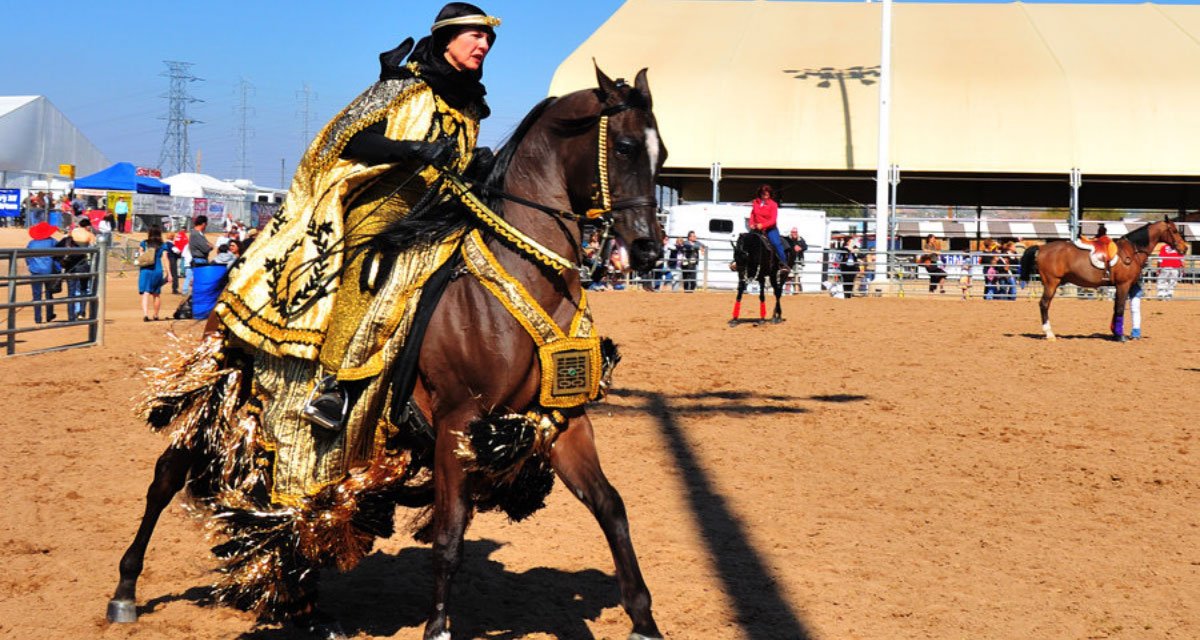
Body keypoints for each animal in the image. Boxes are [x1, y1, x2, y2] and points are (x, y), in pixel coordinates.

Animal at [108, 66, 667, 640]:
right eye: (625, 147)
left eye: (663, 154)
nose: (649, 247)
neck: (530, 275)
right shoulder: (458, 421)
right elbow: (449, 538)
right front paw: (438, 627)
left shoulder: (560, 419)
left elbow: (612, 508)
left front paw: (643, 619)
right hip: (215, 387)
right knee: (166, 477)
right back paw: (126, 590)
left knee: (291, 516)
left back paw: (307, 609)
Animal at [1019, 217, 1188, 341]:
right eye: (1174, 230)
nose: (1185, 248)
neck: (1131, 251)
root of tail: (1041, 247)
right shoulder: (1123, 285)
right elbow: (1119, 308)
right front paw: (1120, 336)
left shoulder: (1122, 286)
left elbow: (1116, 308)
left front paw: (1115, 332)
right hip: (1051, 283)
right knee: (1044, 304)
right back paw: (1049, 334)